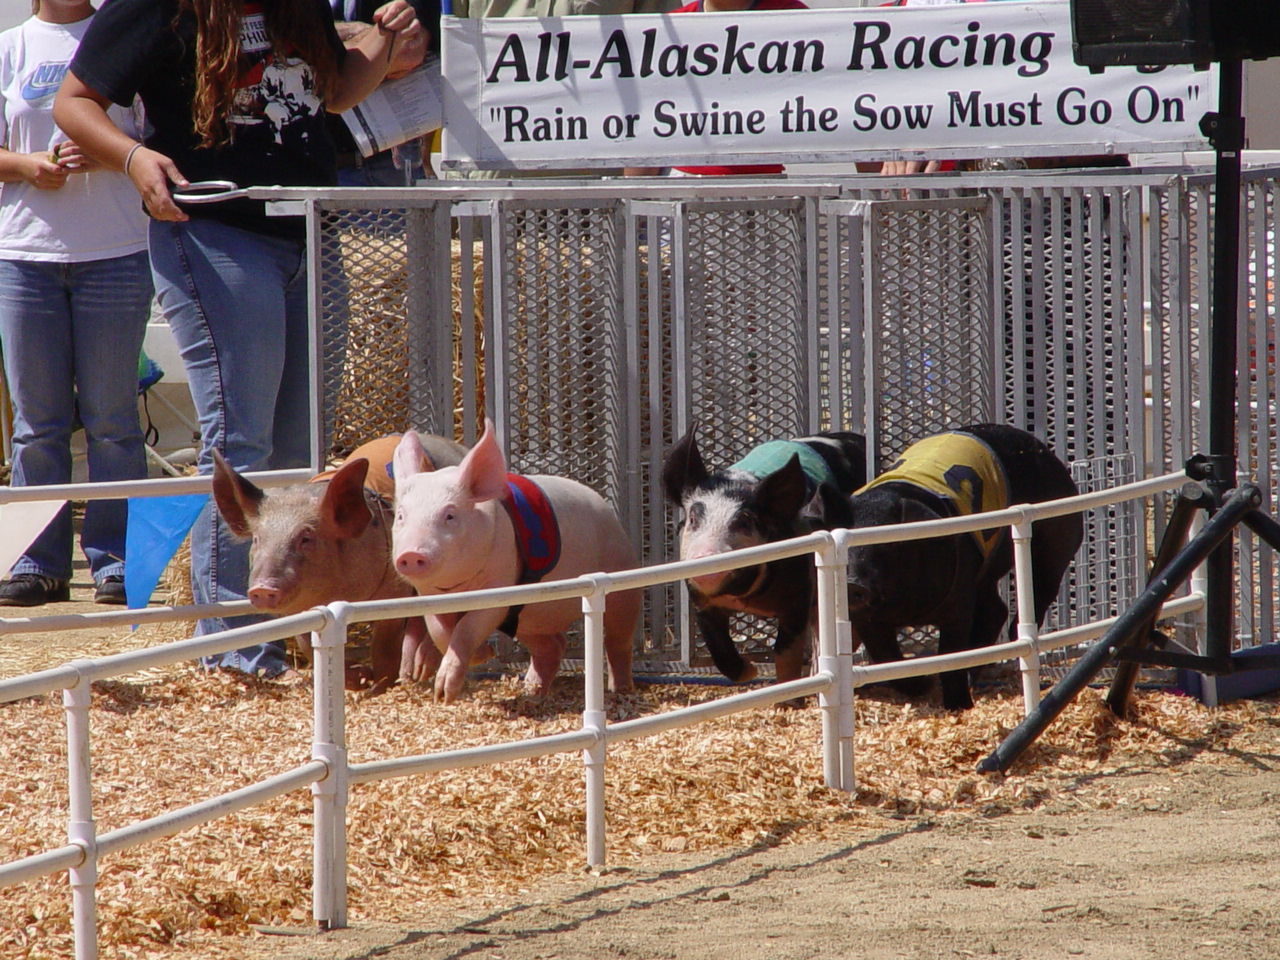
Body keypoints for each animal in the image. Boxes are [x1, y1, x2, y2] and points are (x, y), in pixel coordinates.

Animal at [389, 417, 640, 701]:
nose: (410, 554)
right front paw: (459, 674)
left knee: (618, 640)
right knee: (553, 645)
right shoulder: (430, 599)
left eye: (450, 515)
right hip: (529, 617)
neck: (456, 589)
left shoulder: (499, 589)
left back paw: (620, 690)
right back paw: (532, 692)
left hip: (621, 575)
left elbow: (466, 630)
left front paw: (444, 692)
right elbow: (440, 632)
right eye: (401, 516)